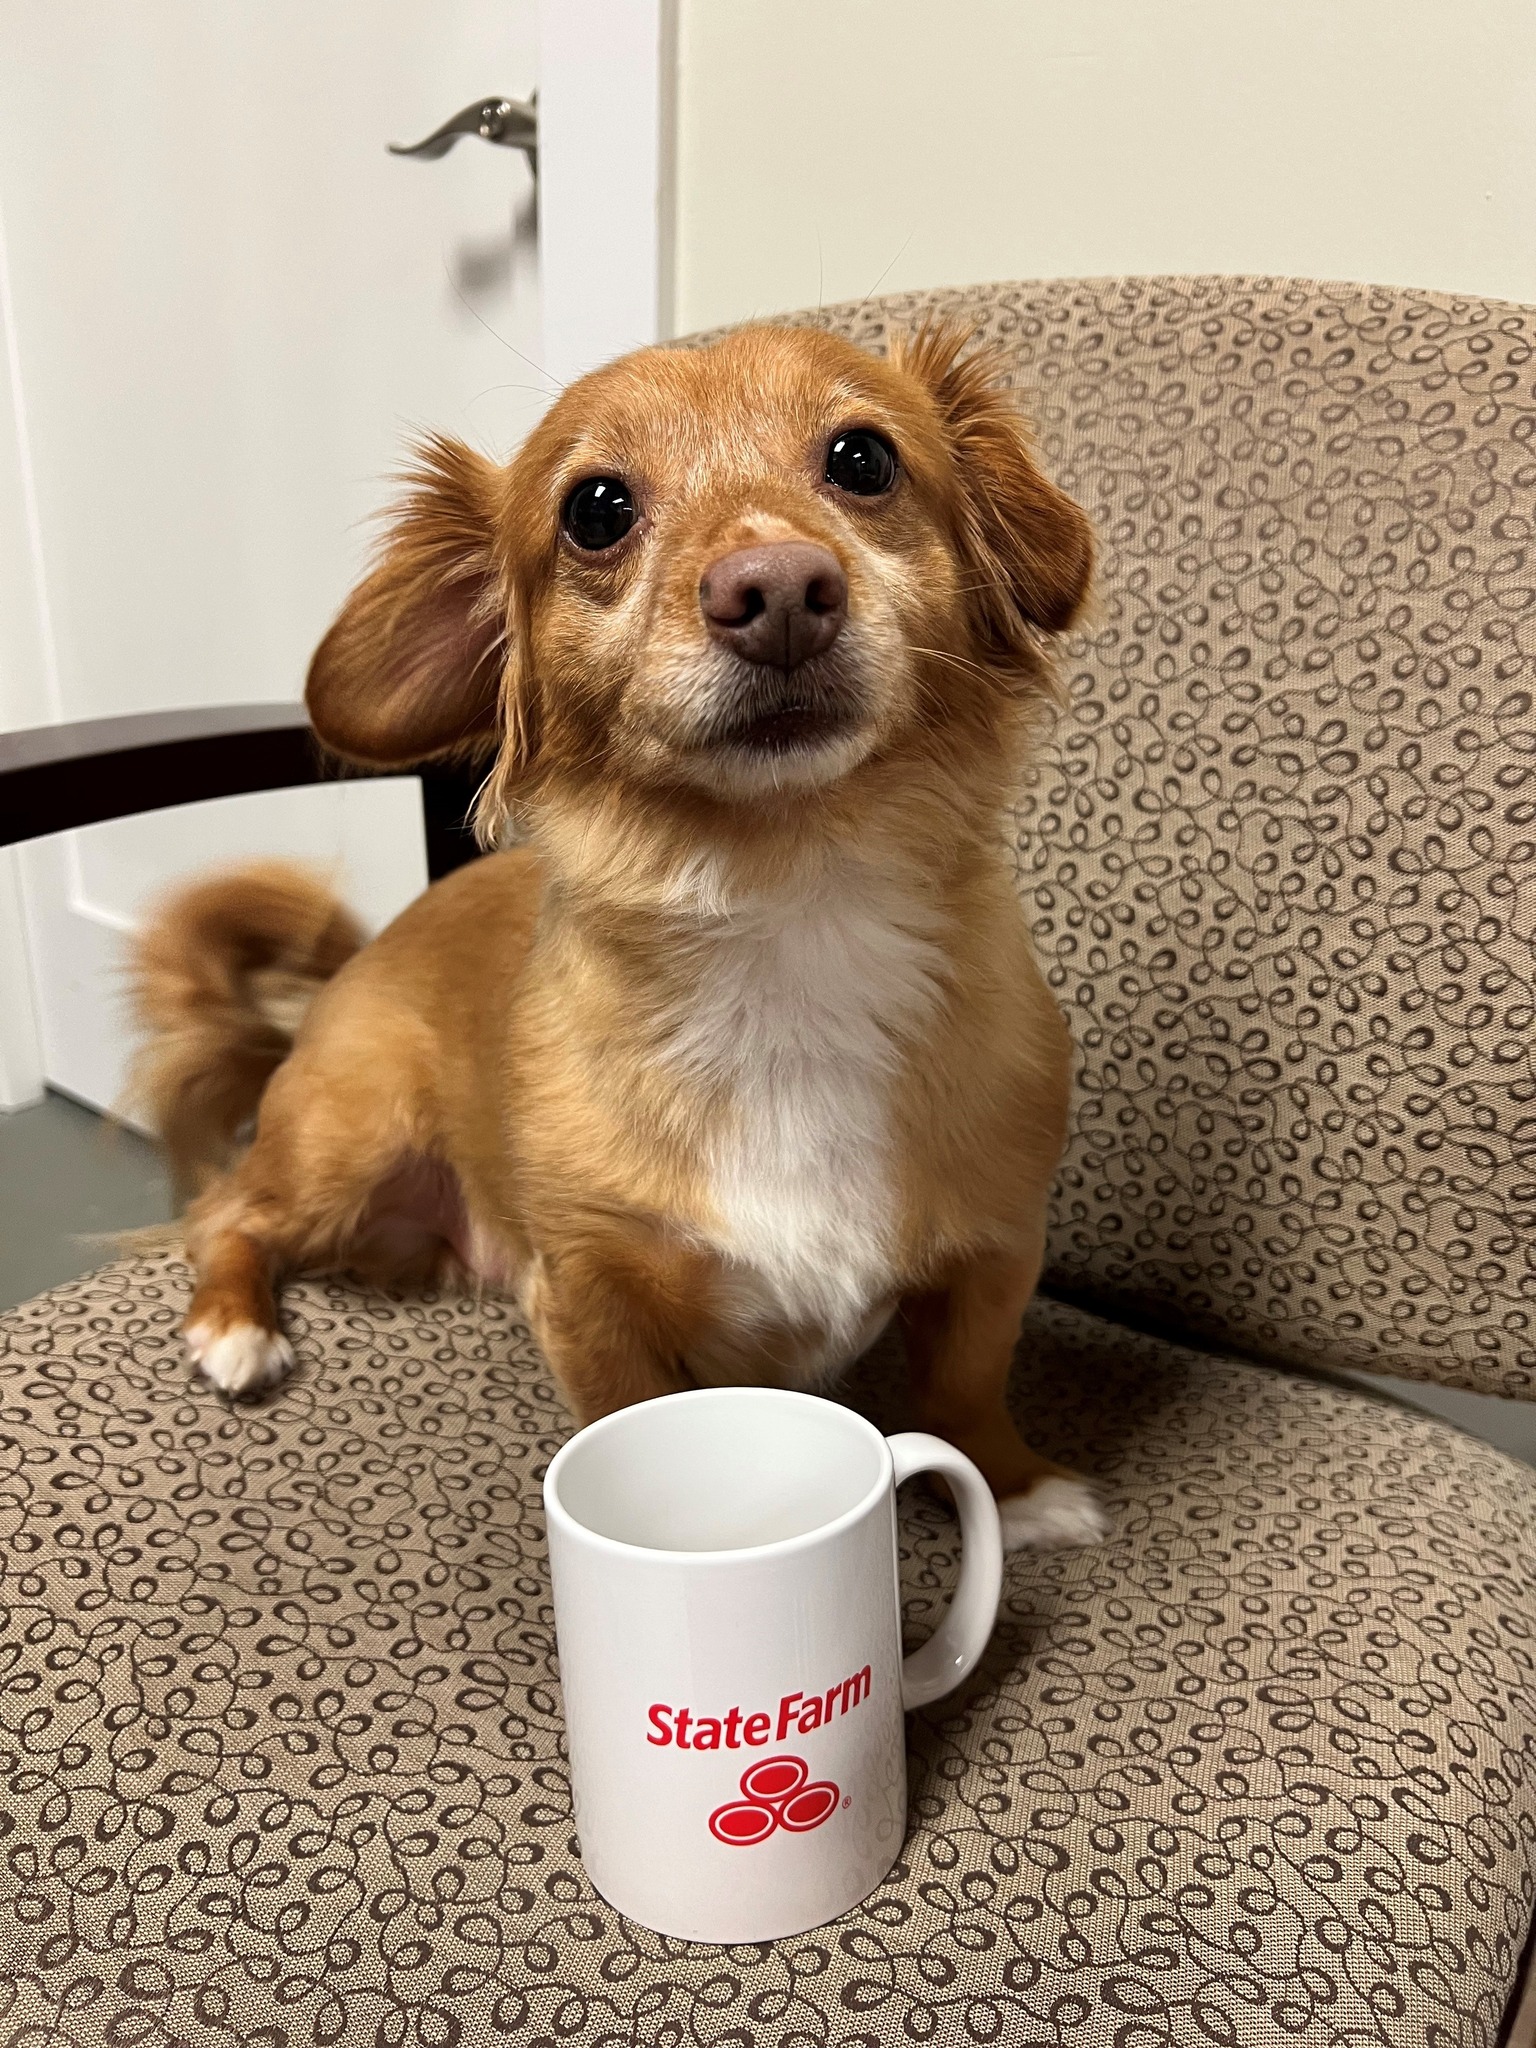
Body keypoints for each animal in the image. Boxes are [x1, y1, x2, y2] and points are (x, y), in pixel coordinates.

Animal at [129, 319, 1105, 1540]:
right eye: (596, 509)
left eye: (864, 459)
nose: (778, 585)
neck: (789, 899)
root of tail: (354, 966)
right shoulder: (587, 1294)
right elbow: (631, 1414)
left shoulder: (995, 1249)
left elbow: (967, 1379)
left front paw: (1013, 1485)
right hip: (345, 1141)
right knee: (227, 1210)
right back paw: (234, 1327)